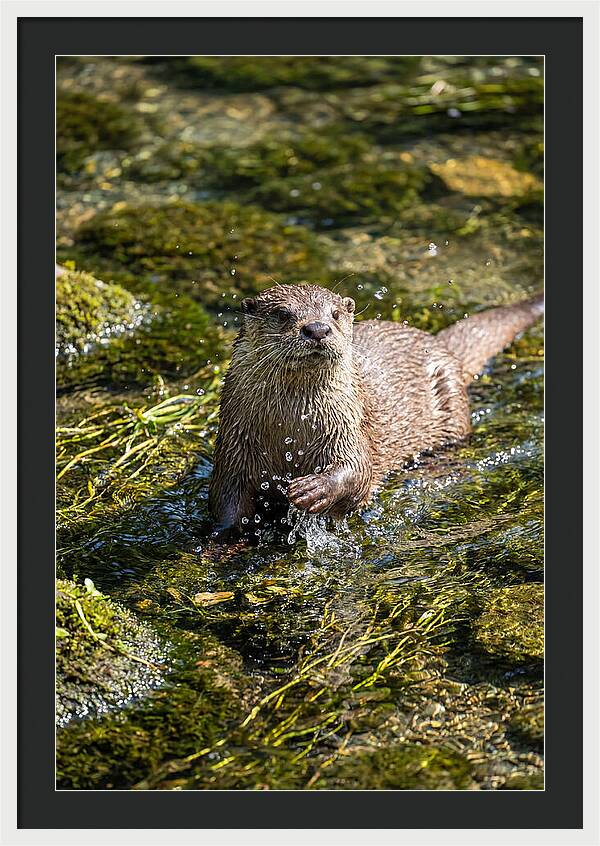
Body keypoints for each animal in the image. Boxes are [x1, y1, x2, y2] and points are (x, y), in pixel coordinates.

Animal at [209, 284, 543, 537]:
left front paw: (314, 489)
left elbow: (358, 471)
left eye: (335, 314)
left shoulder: (348, 427)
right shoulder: (234, 448)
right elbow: (226, 502)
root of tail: (439, 344)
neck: (291, 430)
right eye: (282, 314)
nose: (317, 329)